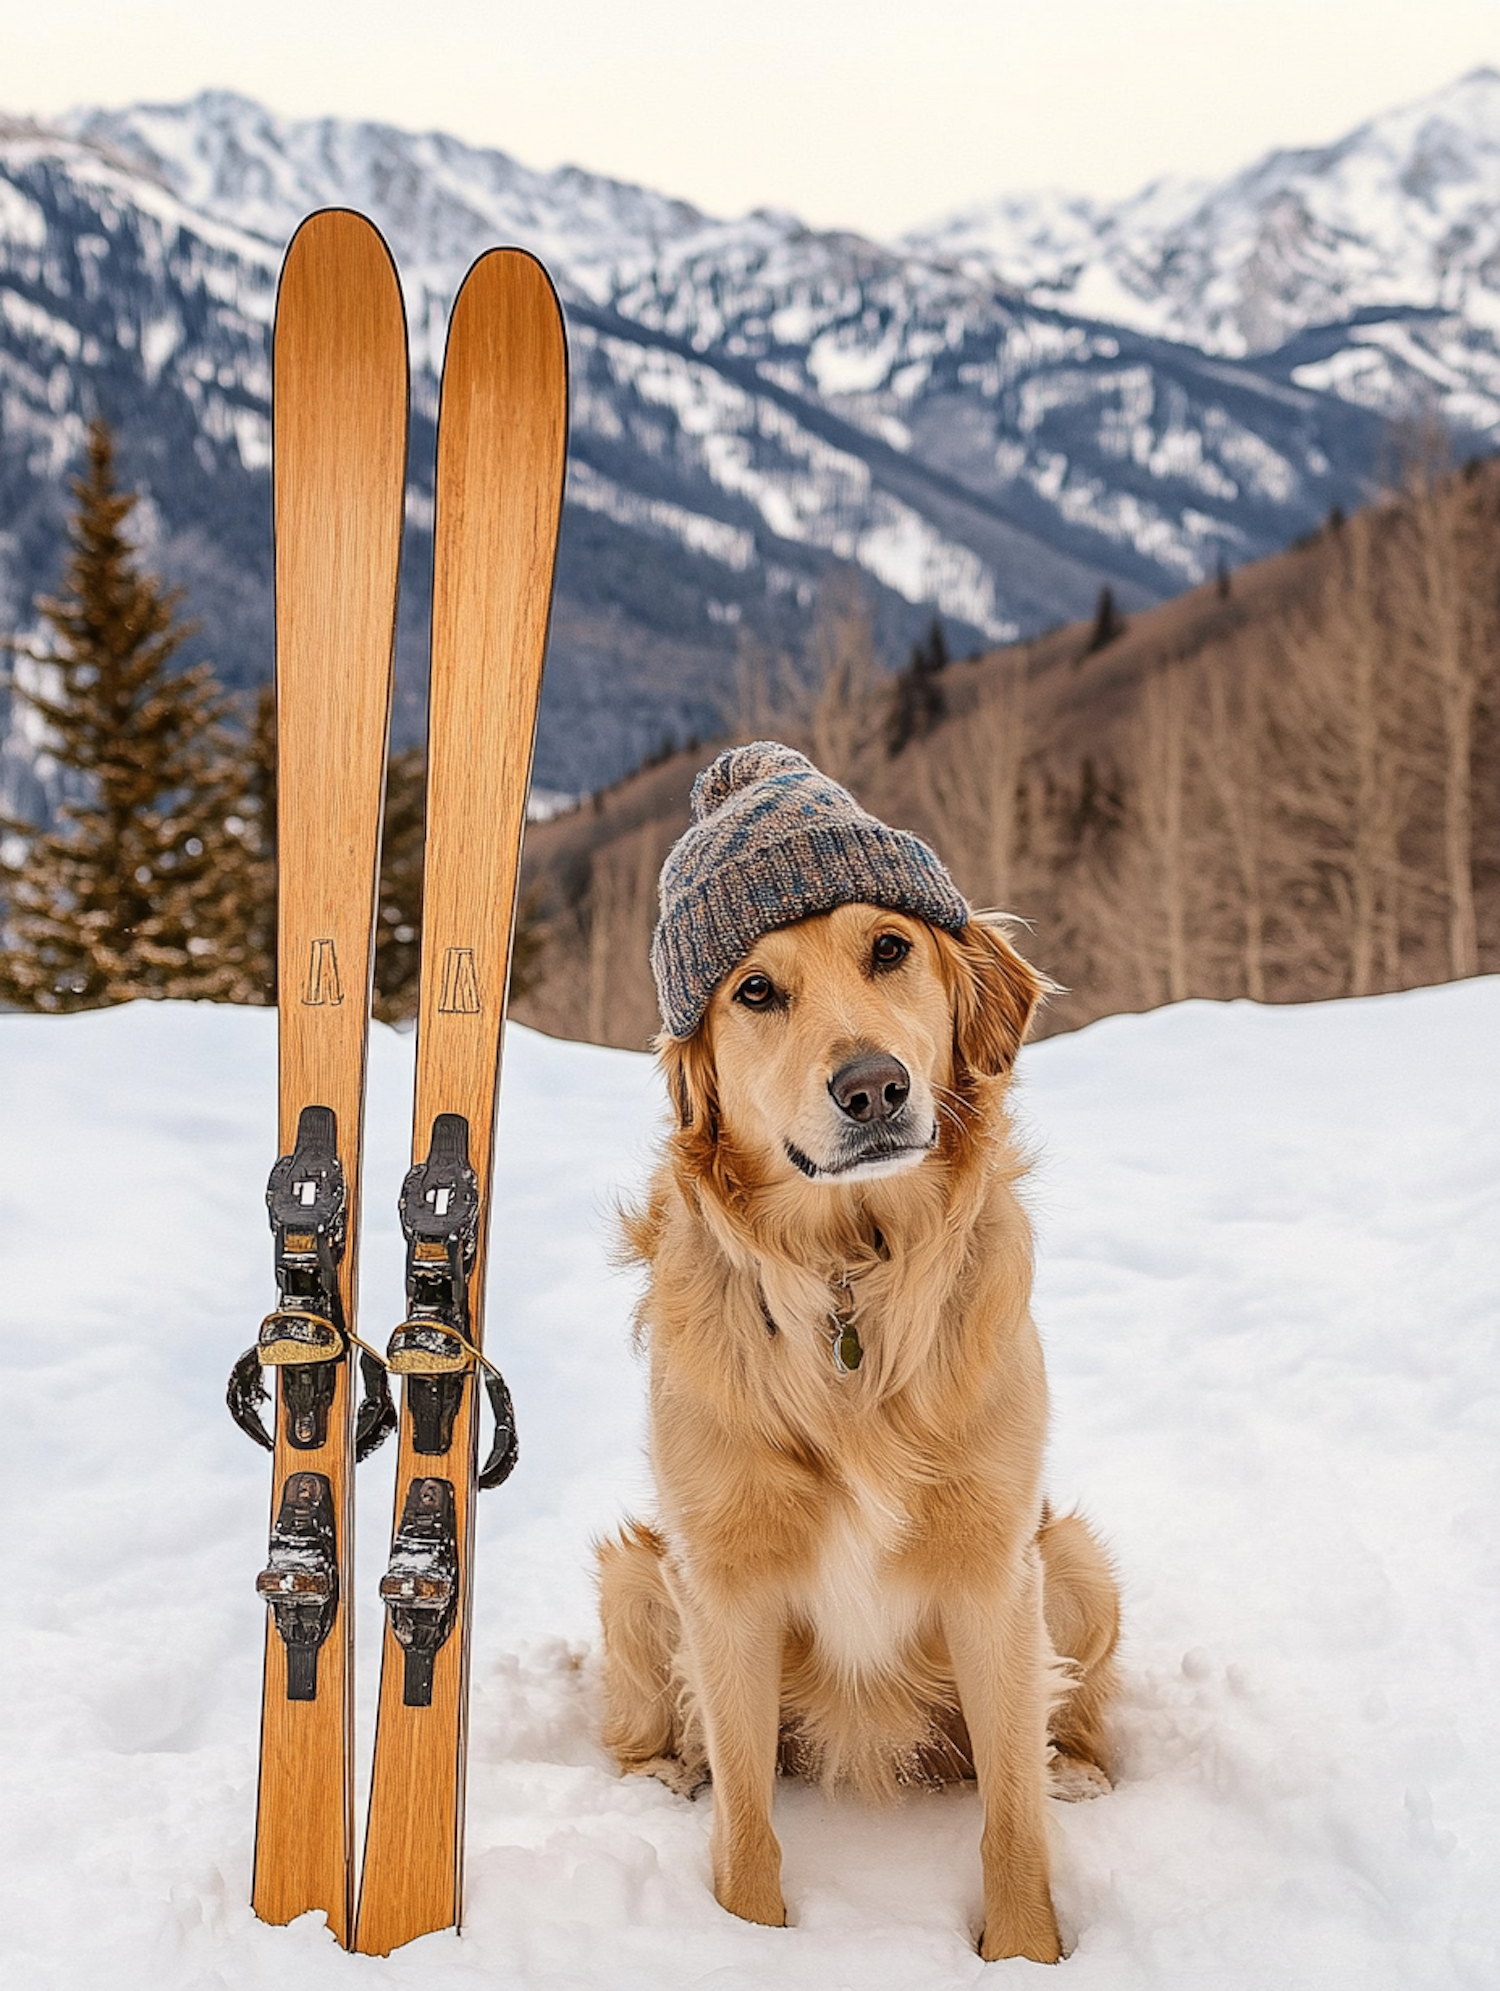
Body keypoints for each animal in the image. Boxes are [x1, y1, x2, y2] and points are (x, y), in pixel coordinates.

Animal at [593, 903, 1115, 1959]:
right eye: (755, 989)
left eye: (890, 948)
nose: (873, 1087)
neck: (851, 1271)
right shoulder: (723, 1583)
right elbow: (747, 1820)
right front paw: (746, 1940)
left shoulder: (997, 1572)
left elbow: (1013, 1814)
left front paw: (1025, 1953)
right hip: (635, 1579)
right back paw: (664, 1775)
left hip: (1077, 1564)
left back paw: (1076, 1770)